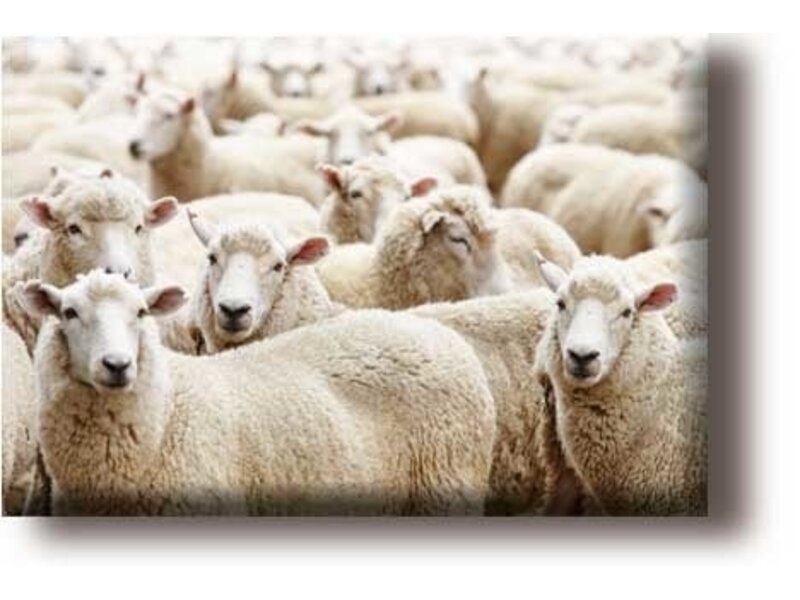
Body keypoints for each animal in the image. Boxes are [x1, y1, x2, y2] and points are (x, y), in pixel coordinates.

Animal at [20, 270, 496, 515]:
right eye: (69, 312)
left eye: (140, 312)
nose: (117, 365)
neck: (166, 413)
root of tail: (435, 331)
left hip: (446, 487)